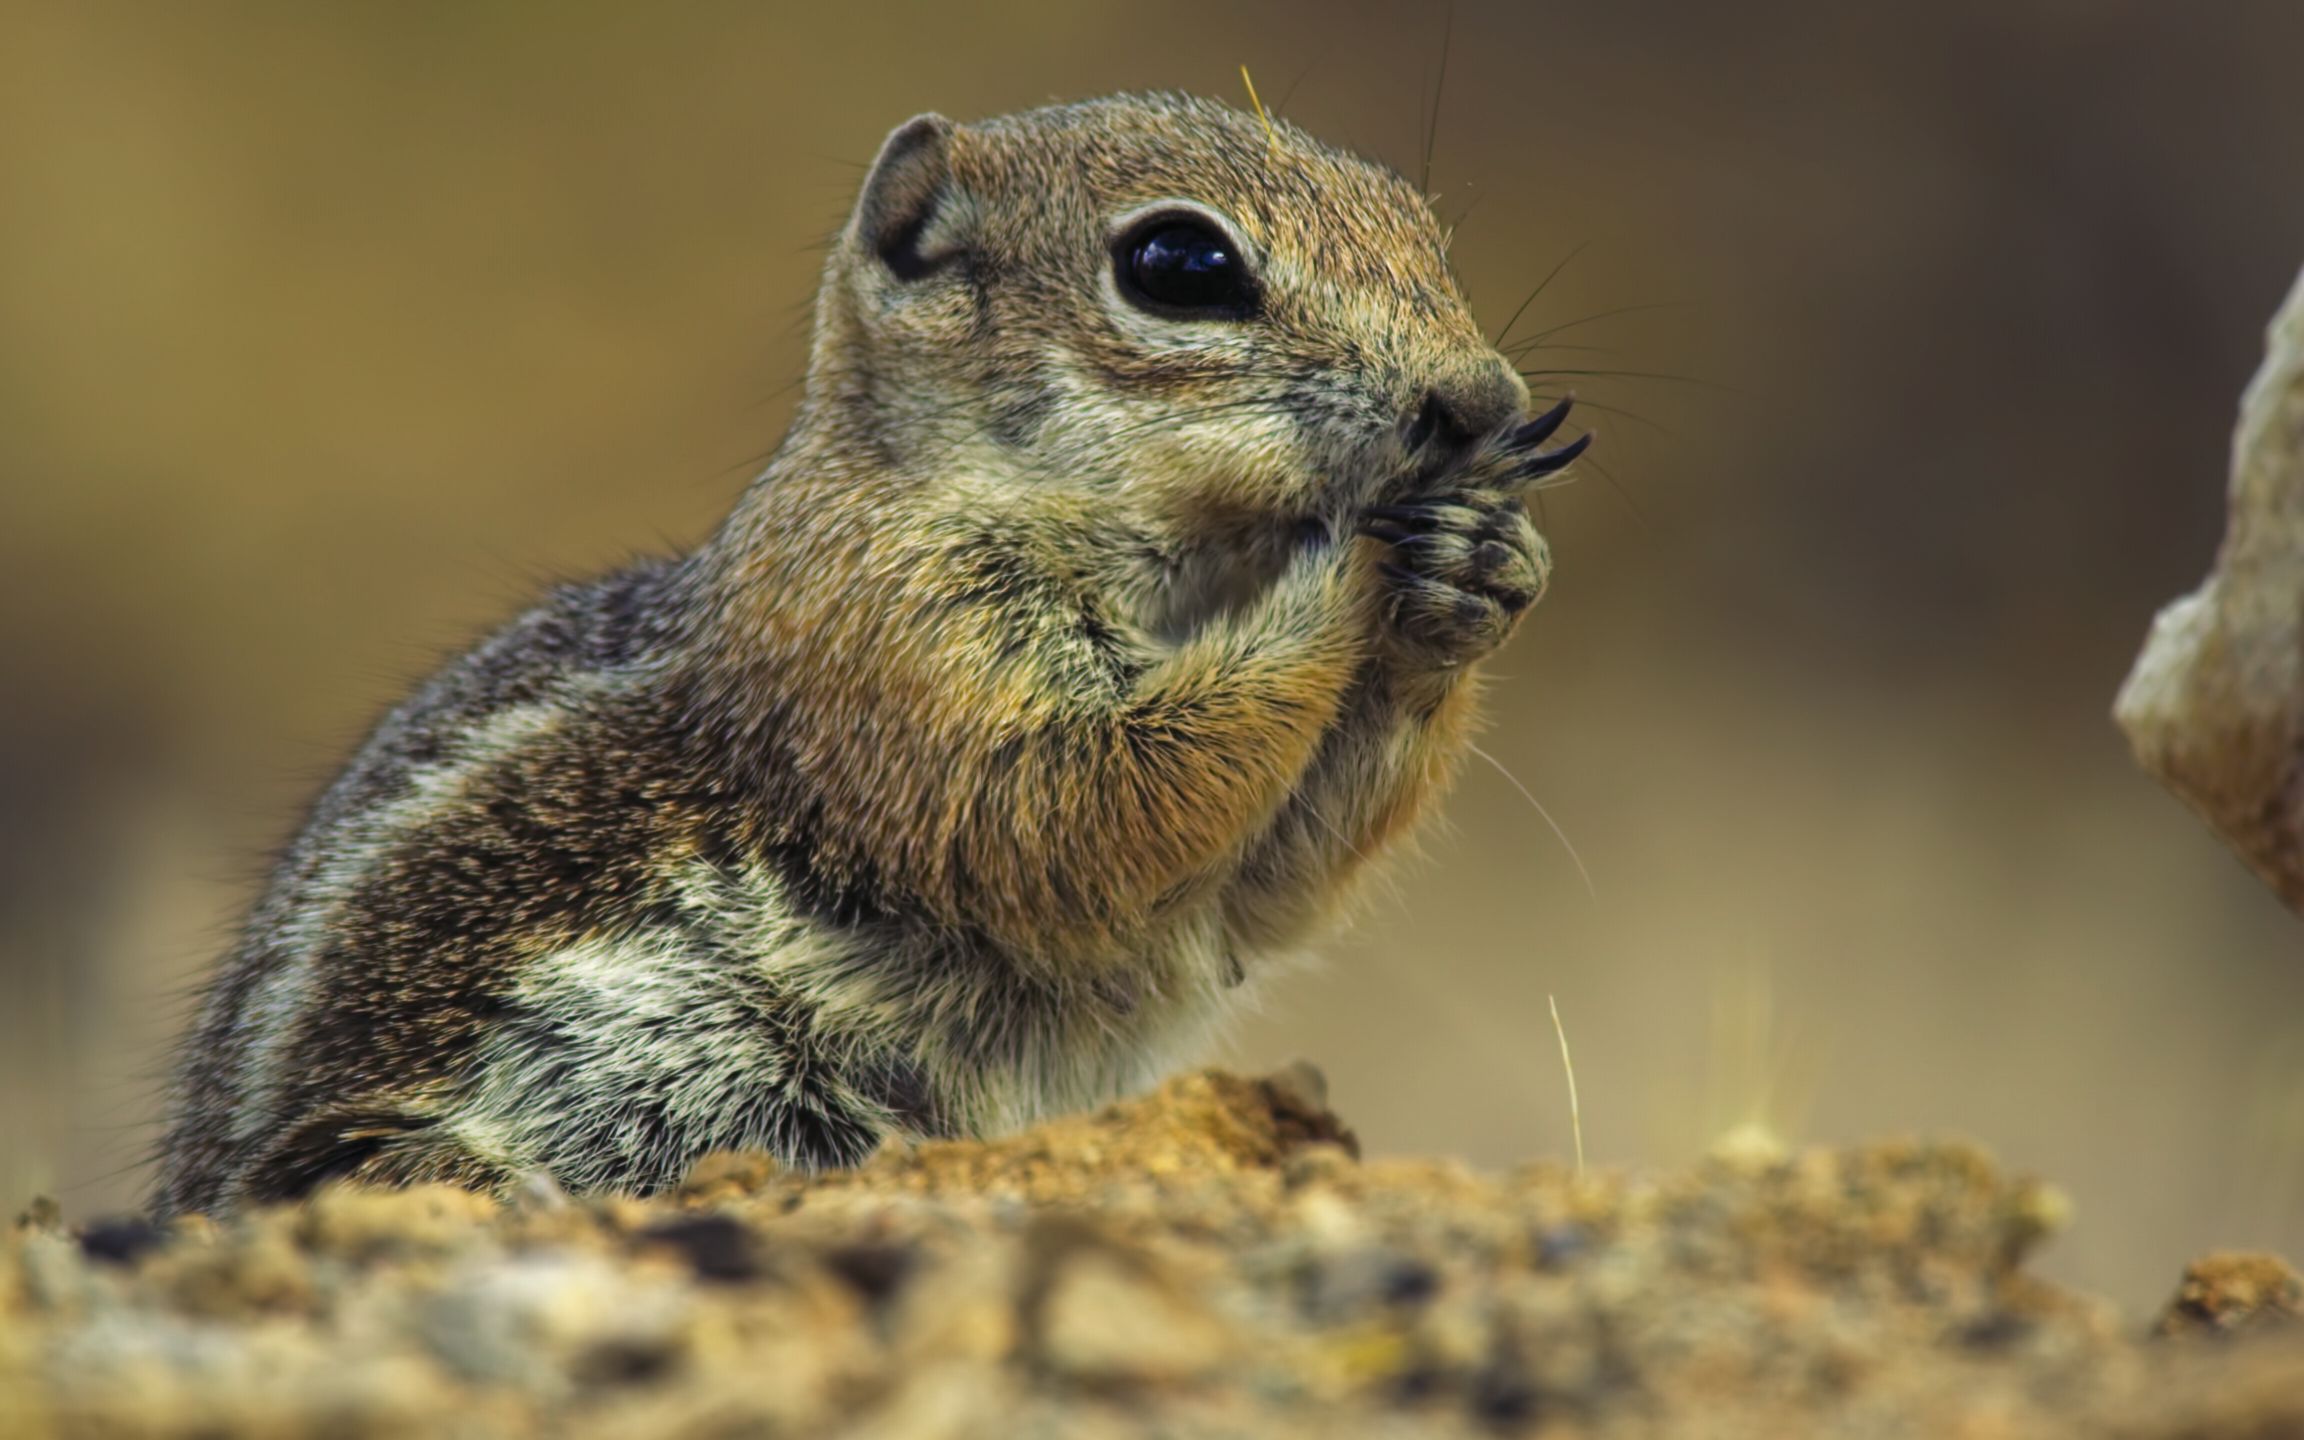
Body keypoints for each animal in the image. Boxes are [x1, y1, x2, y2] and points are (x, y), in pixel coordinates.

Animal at [148, 92, 1585, 1216]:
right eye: (1179, 262)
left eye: (1423, 227)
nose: (1486, 402)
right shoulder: (899, 643)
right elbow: (1079, 806)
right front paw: (1348, 562)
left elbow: (1271, 888)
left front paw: (1483, 564)